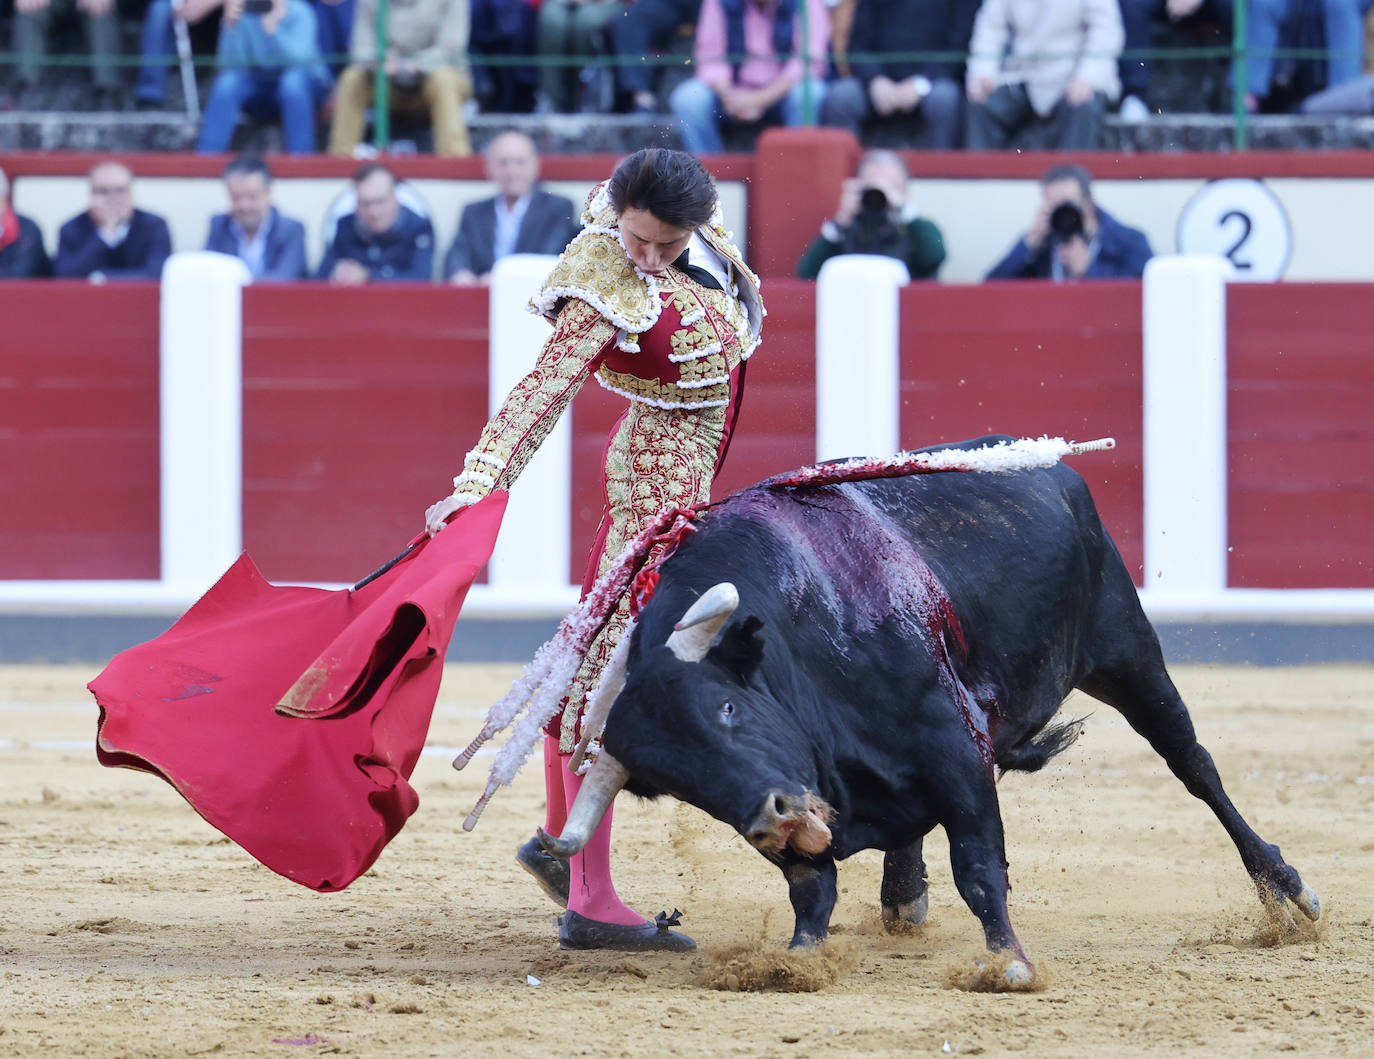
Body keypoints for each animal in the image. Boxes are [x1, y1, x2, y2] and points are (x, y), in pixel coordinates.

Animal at [535, 436, 1319, 977]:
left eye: (727, 707)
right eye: (679, 785)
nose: (774, 818)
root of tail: (1047, 465)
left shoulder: (952, 740)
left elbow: (977, 860)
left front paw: (1008, 963)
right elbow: (810, 887)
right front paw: (796, 959)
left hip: (1127, 651)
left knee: (1194, 765)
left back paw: (1288, 892)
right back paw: (903, 893)